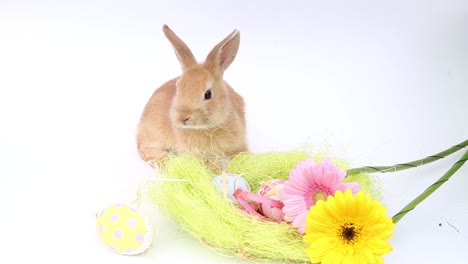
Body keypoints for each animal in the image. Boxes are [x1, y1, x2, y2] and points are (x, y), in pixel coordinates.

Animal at [136, 25, 249, 171]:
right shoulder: (199, 154)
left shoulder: (238, 143)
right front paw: (219, 172)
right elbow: (209, 164)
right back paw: (166, 159)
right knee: (143, 149)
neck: (208, 127)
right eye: (178, 88)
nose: (183, 118)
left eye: (208, 94)